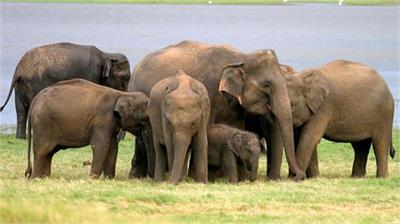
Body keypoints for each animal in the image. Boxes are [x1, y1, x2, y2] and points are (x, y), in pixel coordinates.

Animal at [0, 42, 131, 138]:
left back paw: (20, 138)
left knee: (21, 111)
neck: (106, 55)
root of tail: (19, 69)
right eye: (126, 78)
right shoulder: (90, 74)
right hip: (33, 83)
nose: (119, 138)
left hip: (19, 86)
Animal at [128, 39, 306, 180]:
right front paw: (197, 176)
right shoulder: (210, 88)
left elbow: (235, 127)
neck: (242, 57)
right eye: (267, 85)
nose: (299, 176)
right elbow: (206, 128)